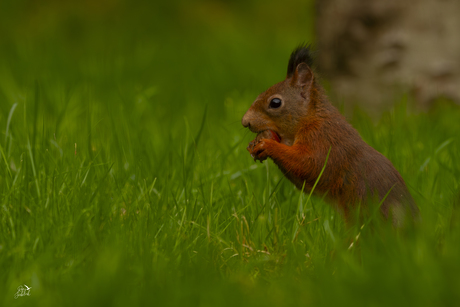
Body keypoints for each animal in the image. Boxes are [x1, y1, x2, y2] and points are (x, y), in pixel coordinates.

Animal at [243, 44, 418, 225]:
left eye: (275, 103)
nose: (245, 122)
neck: (311, 118)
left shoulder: (323, 140)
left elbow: (309, 166)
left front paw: (268, 145)